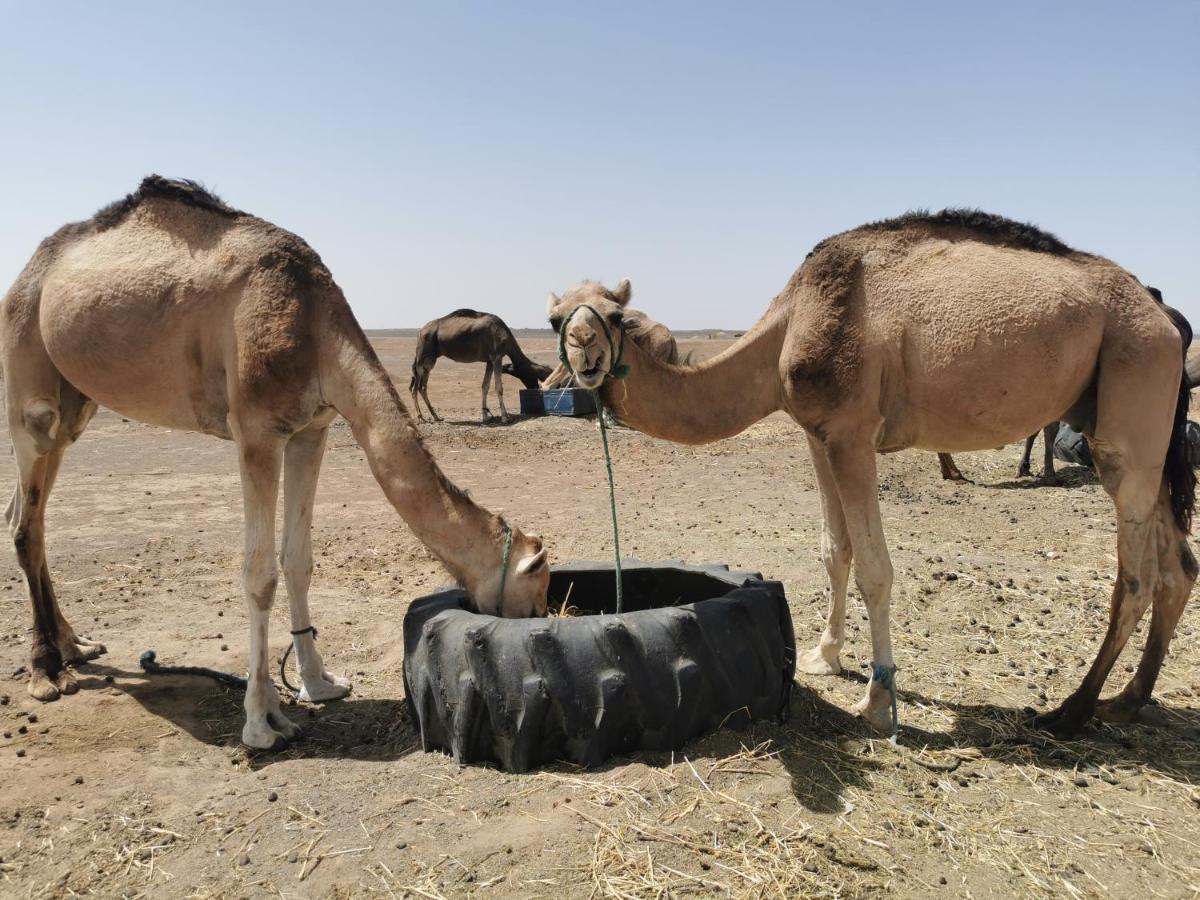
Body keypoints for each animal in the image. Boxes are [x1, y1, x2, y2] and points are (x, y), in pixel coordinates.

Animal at [408, 309, 549, 427]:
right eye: (534, 376)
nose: (535, 387)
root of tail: (420, 332)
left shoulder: (489, 360)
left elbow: (485, 386)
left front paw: (485, 416)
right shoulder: (497, 356)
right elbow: (499, 387)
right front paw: (505, 417)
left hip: (430, 361)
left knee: (422, 387)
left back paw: (436, 417)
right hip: (422, 357)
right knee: (415, 388)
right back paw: (421, 418)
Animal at [549, 211, 1195, 739]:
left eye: (614, 315)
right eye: (554, 317)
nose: (584, 349)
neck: (787, 327)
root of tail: (1164, 317)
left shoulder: (853, 433)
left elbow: (875, 569)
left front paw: (879, 699)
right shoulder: (817, 434)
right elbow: (836, 551)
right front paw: (825, 655)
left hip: (1132, 385)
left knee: (1136, 576)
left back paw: (1073, 710)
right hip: (1134, 416)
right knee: (1179, 567)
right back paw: (1128, 701)